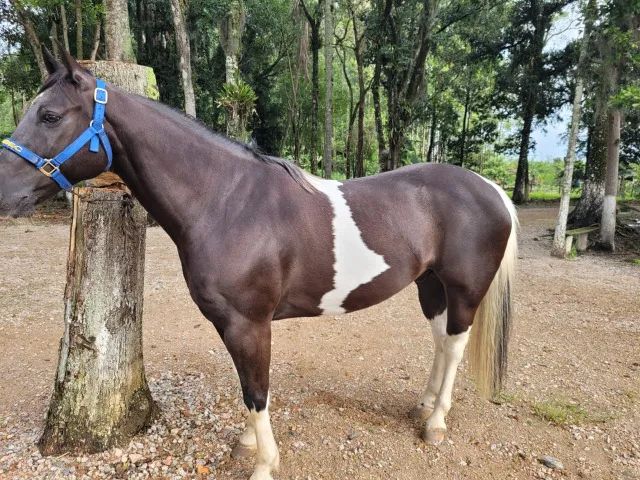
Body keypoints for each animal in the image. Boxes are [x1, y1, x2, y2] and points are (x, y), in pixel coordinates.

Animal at [0, 50, 517, 480]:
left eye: (49, 115)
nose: (4, 192)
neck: (227, 202)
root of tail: (488, 187)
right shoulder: (234, 324)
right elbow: (246, 384)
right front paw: (248, 441)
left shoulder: (248, 323)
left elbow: (256, 390)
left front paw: (264, 463)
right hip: (430, 284)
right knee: (440, 340)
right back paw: (423, 406)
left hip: (464, 288)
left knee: (455, 345)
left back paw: (436, 423)